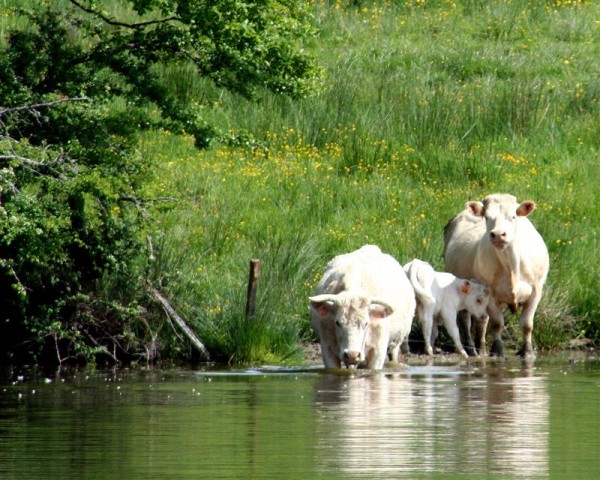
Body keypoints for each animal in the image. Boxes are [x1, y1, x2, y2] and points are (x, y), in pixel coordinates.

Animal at [442, 193, 552, 358]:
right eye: (487, 217)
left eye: (513, 216)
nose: (499, 234)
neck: (511, 264)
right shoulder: (491, 292)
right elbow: (497, 323)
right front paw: (498, 350)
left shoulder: (536, 289)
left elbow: (527, 324)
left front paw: (527, 352)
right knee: (466, 319)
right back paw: (472, 349)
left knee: (482, 320)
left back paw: (481, 349)